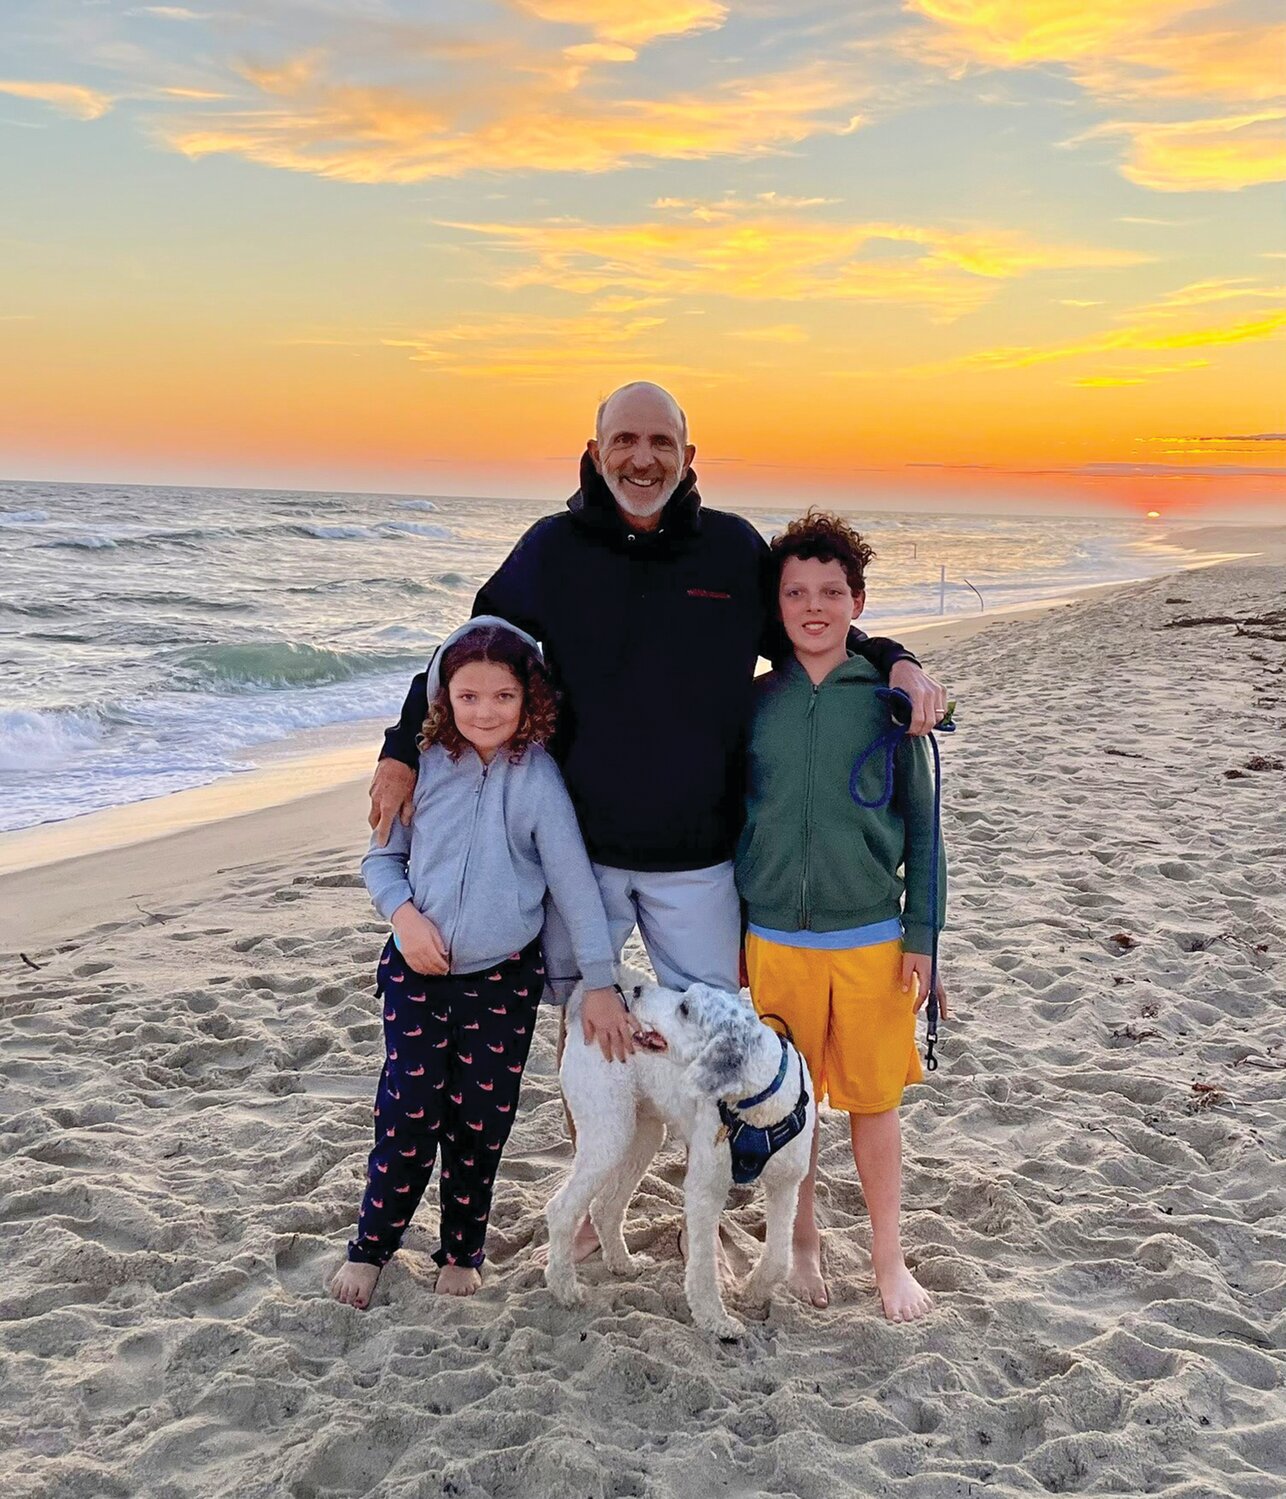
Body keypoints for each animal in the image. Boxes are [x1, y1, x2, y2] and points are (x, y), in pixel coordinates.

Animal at [542, 965, 809, 1343]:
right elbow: (702, 1265)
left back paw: (624, 1264)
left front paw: (753, 1292)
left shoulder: (786, 1185)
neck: (760, 1108)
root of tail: (584, 1009)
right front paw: (716, 1320)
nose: (638, 991)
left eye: (685, 1008)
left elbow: (779, 1256)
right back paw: (564, 1288)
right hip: (608, 1133)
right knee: (563, 1210)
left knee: (604, 1208)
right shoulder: (704, 1189)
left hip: (643, 1134)